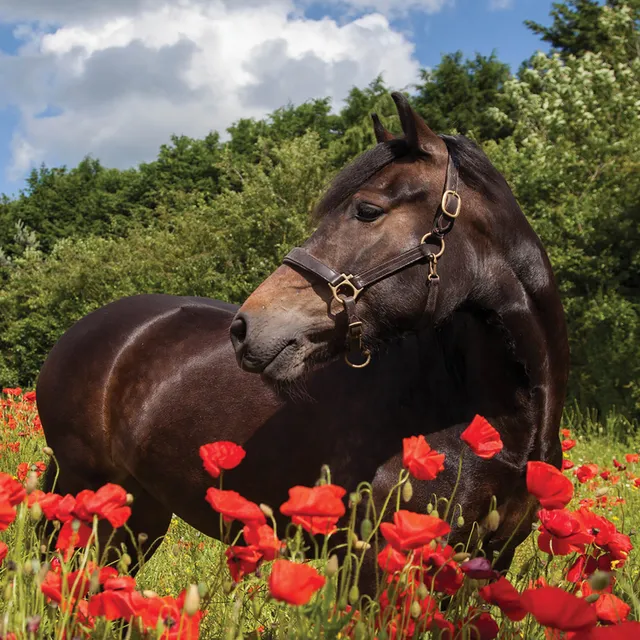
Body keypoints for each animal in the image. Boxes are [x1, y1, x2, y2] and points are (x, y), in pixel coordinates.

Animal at [36, 92, 569, 587]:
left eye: (367, 210)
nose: (244, 328)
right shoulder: (374, 568)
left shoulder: (487, 566)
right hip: (85, 496)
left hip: (140, 512)